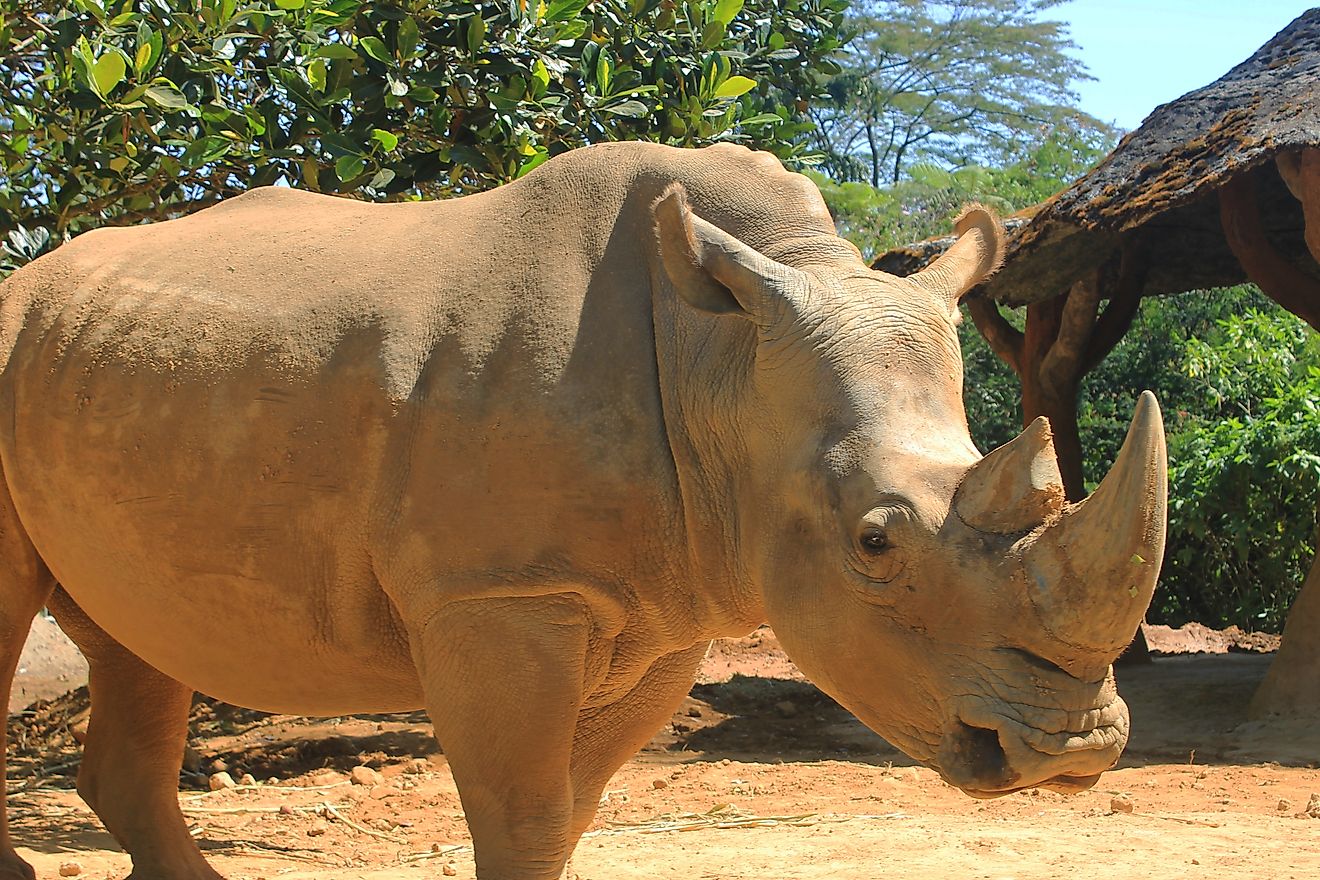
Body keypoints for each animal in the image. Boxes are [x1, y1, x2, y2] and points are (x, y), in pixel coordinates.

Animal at [0, 143, 1164, 880]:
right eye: (875, 542)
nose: (1074, 750)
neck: (722, 364)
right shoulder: (498, 592)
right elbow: (520, 815)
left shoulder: (660, 612)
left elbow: (571, 813)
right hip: (23, 339)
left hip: (109, 365)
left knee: (139, 633)